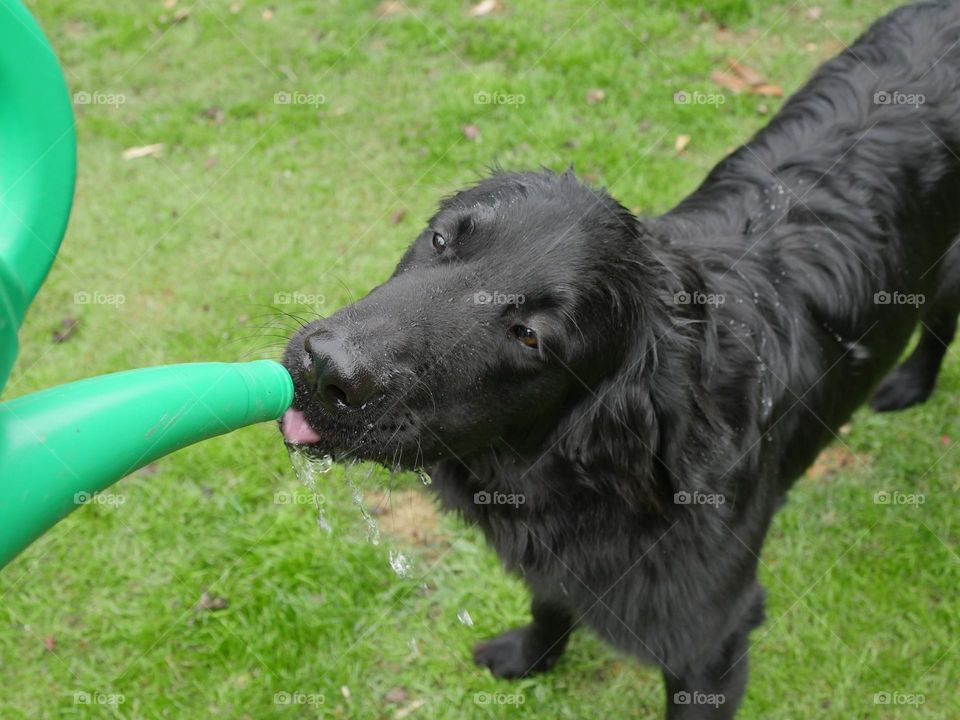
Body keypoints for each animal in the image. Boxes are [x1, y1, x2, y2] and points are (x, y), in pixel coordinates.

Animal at [280, 2, 960, 716]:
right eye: (440, 239)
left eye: (530, 336)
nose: (326, 367)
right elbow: (551, 601)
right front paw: (532, 656)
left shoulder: (710, 642)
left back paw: (912, 383)